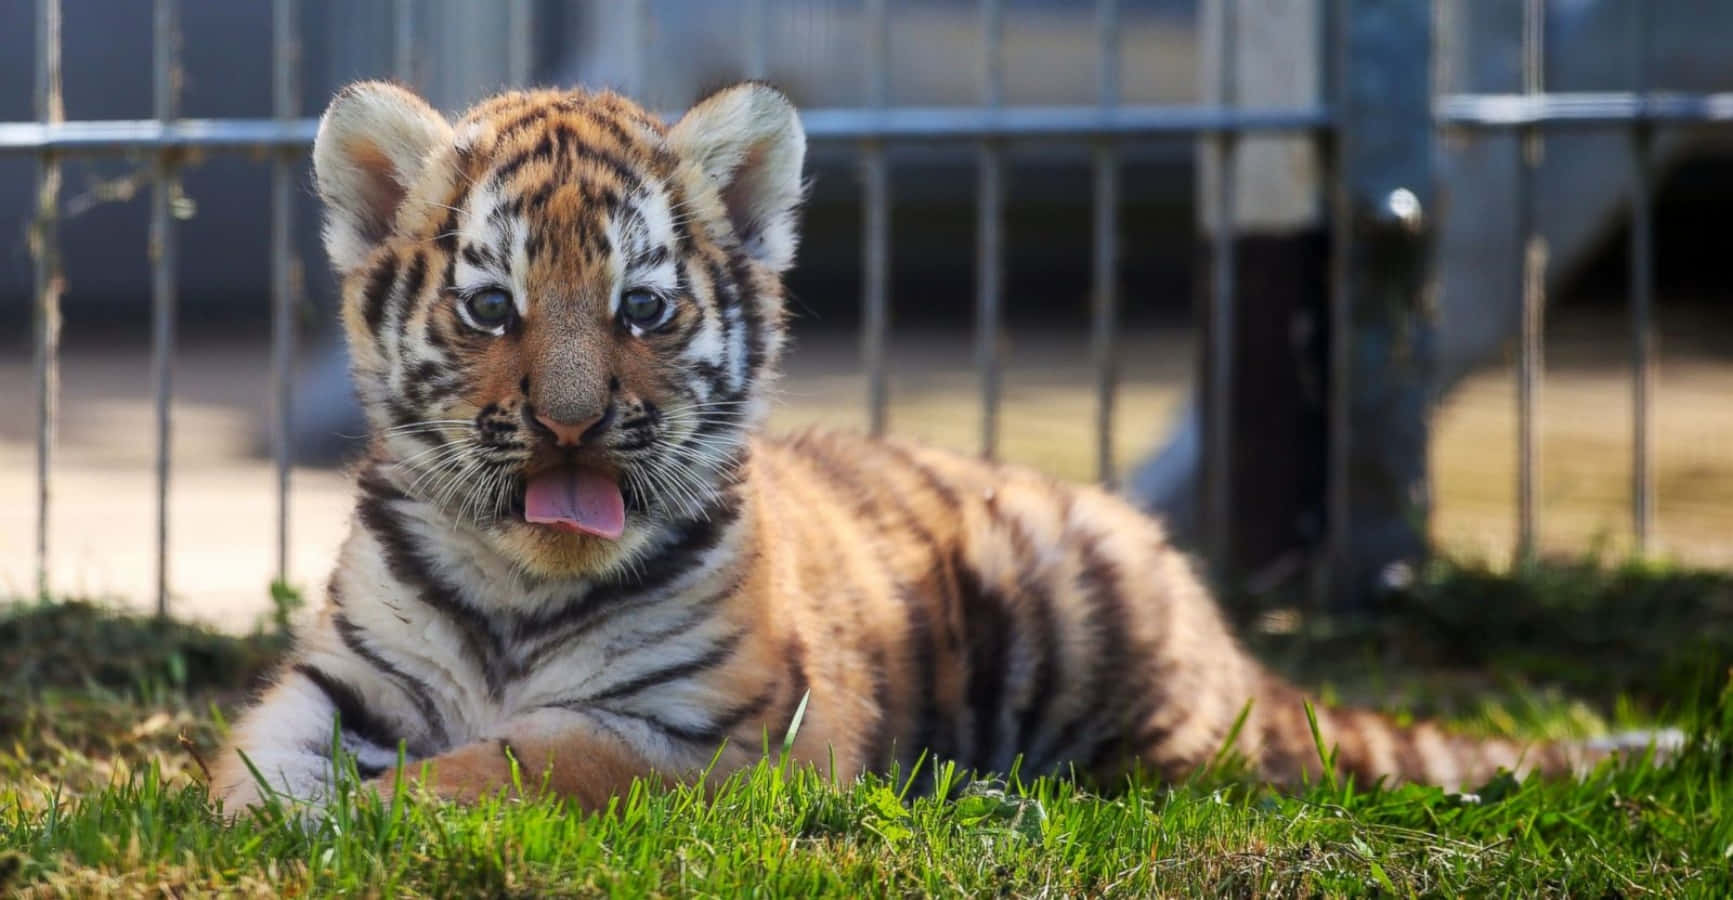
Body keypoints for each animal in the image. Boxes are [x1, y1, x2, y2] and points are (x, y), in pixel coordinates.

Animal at [211, 79, 1674, 815]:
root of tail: (1219, 632)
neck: (519, 592)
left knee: (1200, 769)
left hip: (1099, 637)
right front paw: (292, 814)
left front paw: (394, 812)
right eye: (490, 307)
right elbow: (250, 759)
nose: (571, 422)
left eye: (641, 307)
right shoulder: (336, 676)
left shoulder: (712, 731)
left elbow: (525, 756)